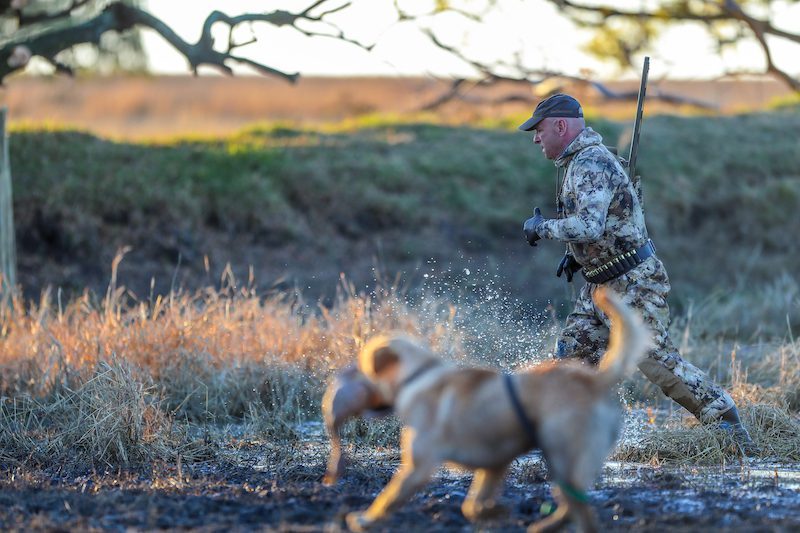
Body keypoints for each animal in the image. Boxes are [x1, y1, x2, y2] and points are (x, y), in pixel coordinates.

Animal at [322, 288, 648, 528]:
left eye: (364, 368)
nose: (343, 379)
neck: (419, 373)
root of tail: (594, 380)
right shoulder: (494, 464)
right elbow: (472, 505)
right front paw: (492, 512)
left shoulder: (418, 466)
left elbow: (387, 497)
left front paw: (364, 519)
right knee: (574, 508)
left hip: (566, 455)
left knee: (576, 507)